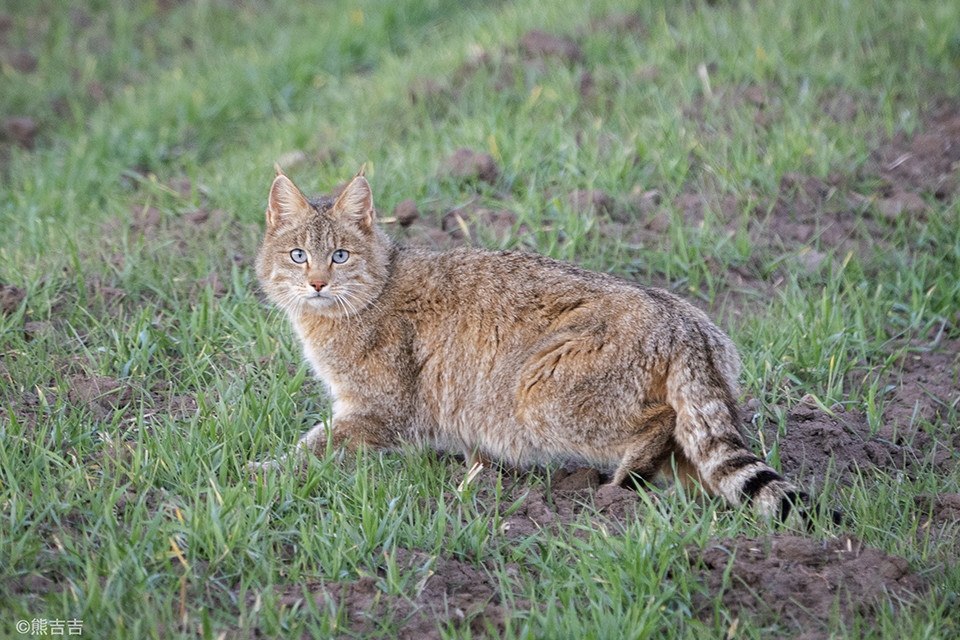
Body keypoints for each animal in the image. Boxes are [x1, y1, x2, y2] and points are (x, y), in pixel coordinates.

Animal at [249, 164, 804, 520]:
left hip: (538, 396)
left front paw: (261, 470)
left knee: (660, 422)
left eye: (340, 256)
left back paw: (620, 485)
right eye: (299, 255)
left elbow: (313, 446)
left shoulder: (379, 410)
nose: (317, 283)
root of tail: (683, 320)